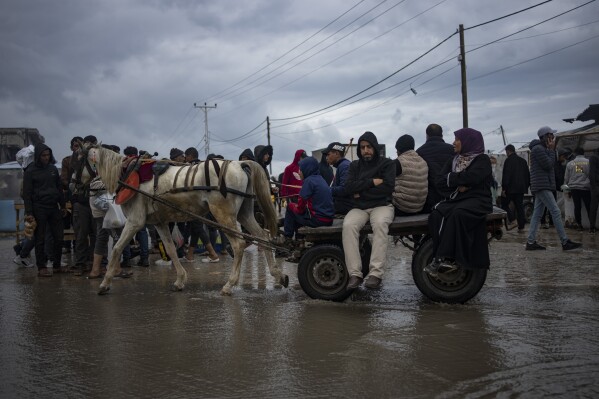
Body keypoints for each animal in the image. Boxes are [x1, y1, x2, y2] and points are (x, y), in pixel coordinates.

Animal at [86, 145, 288, 296]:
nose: (88, 188)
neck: (128, 172)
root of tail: (240, 164)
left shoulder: (135, 221)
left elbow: (117, 249)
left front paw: (105, 283)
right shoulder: (159, 223)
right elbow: (170, 249)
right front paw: (180, 280)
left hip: (223, 214)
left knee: (239, 245)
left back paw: (229, 284)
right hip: (244, 213)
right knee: (262, 236)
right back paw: (277, 274)